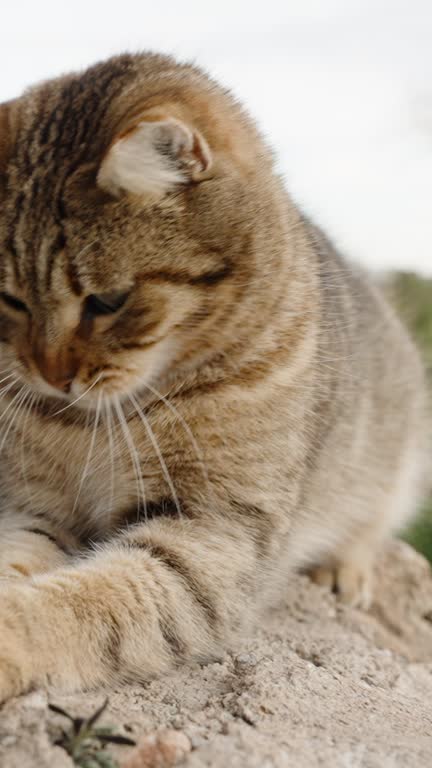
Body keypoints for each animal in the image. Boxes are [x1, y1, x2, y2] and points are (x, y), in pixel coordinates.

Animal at [0, 52, 426, 704]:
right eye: (11, 300)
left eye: (107, 302)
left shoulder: (210, 537)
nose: (49, 376)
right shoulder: (34, 508)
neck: (94, 418)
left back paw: (344, 564)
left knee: (375, 515)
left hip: (395, 443)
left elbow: (88, 603)